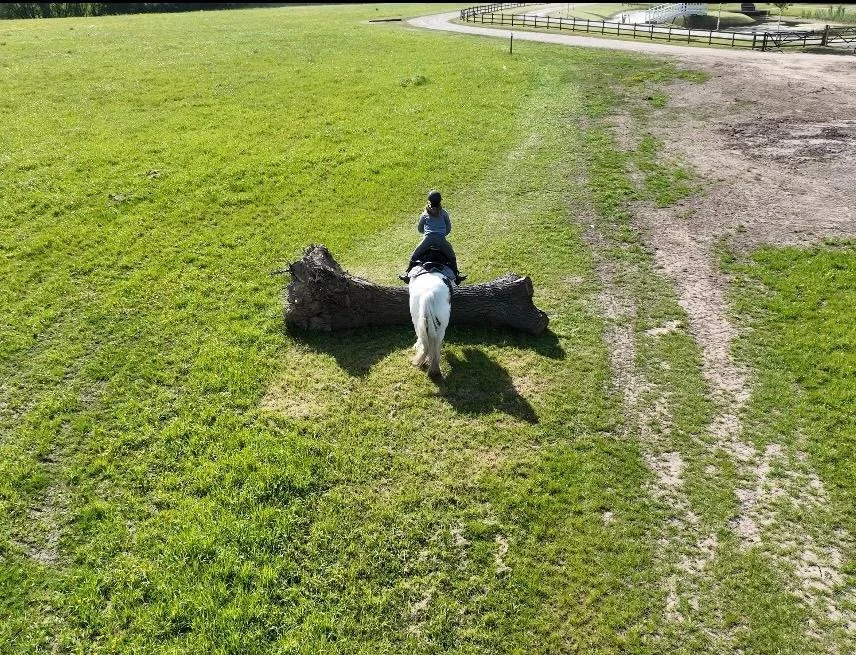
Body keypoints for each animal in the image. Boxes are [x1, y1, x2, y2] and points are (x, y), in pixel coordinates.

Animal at [407, 248, 455, 378]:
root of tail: (428, 294)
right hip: (442, 325)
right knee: (435, 344)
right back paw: (434, 369)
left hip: (416, 317)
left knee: (424, 338)